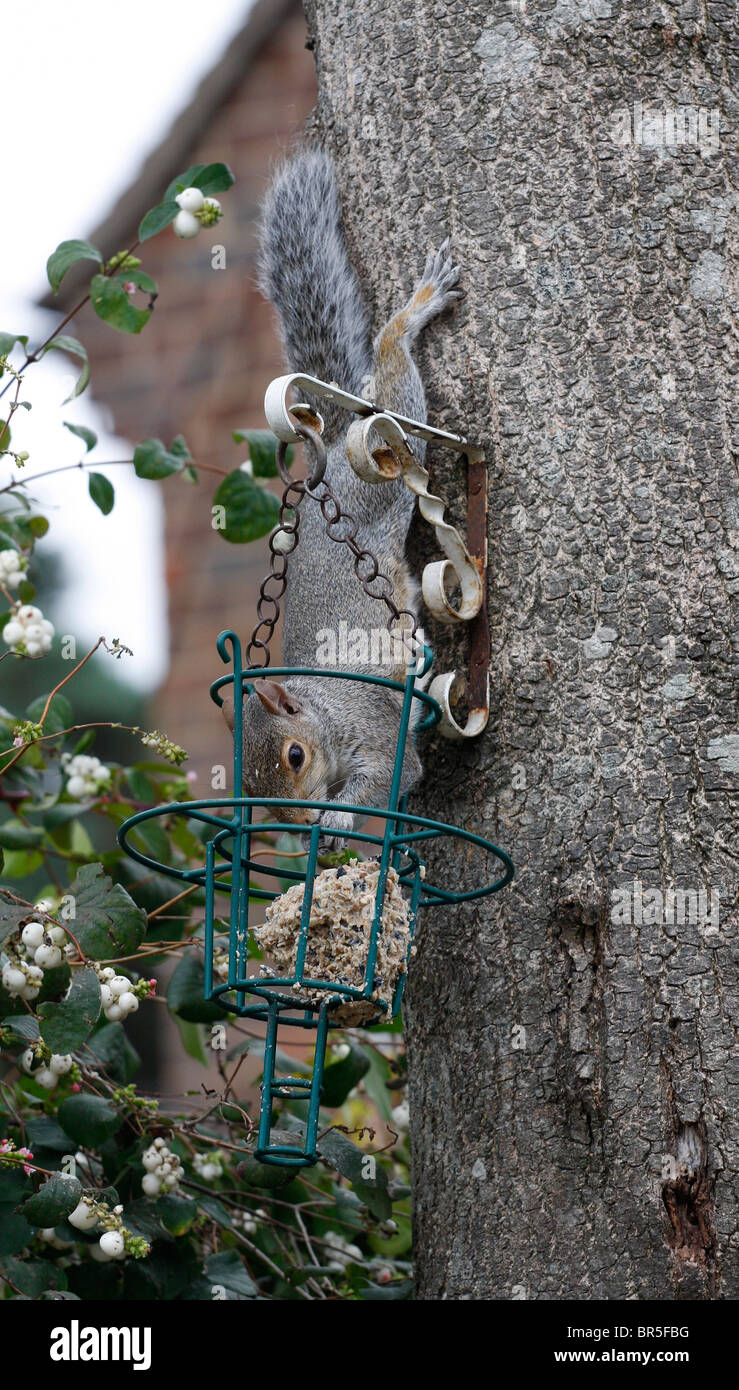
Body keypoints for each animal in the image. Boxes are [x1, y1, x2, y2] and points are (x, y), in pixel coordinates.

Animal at [223, 149, 461, 847]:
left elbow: (387, 777)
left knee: (396, 373)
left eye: (295, 756)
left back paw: (413, 313)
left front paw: (336, 816)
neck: (326, 712)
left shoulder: (377, 733)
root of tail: (328, 452)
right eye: (256, 795)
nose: (299, 822)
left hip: (389, 460)